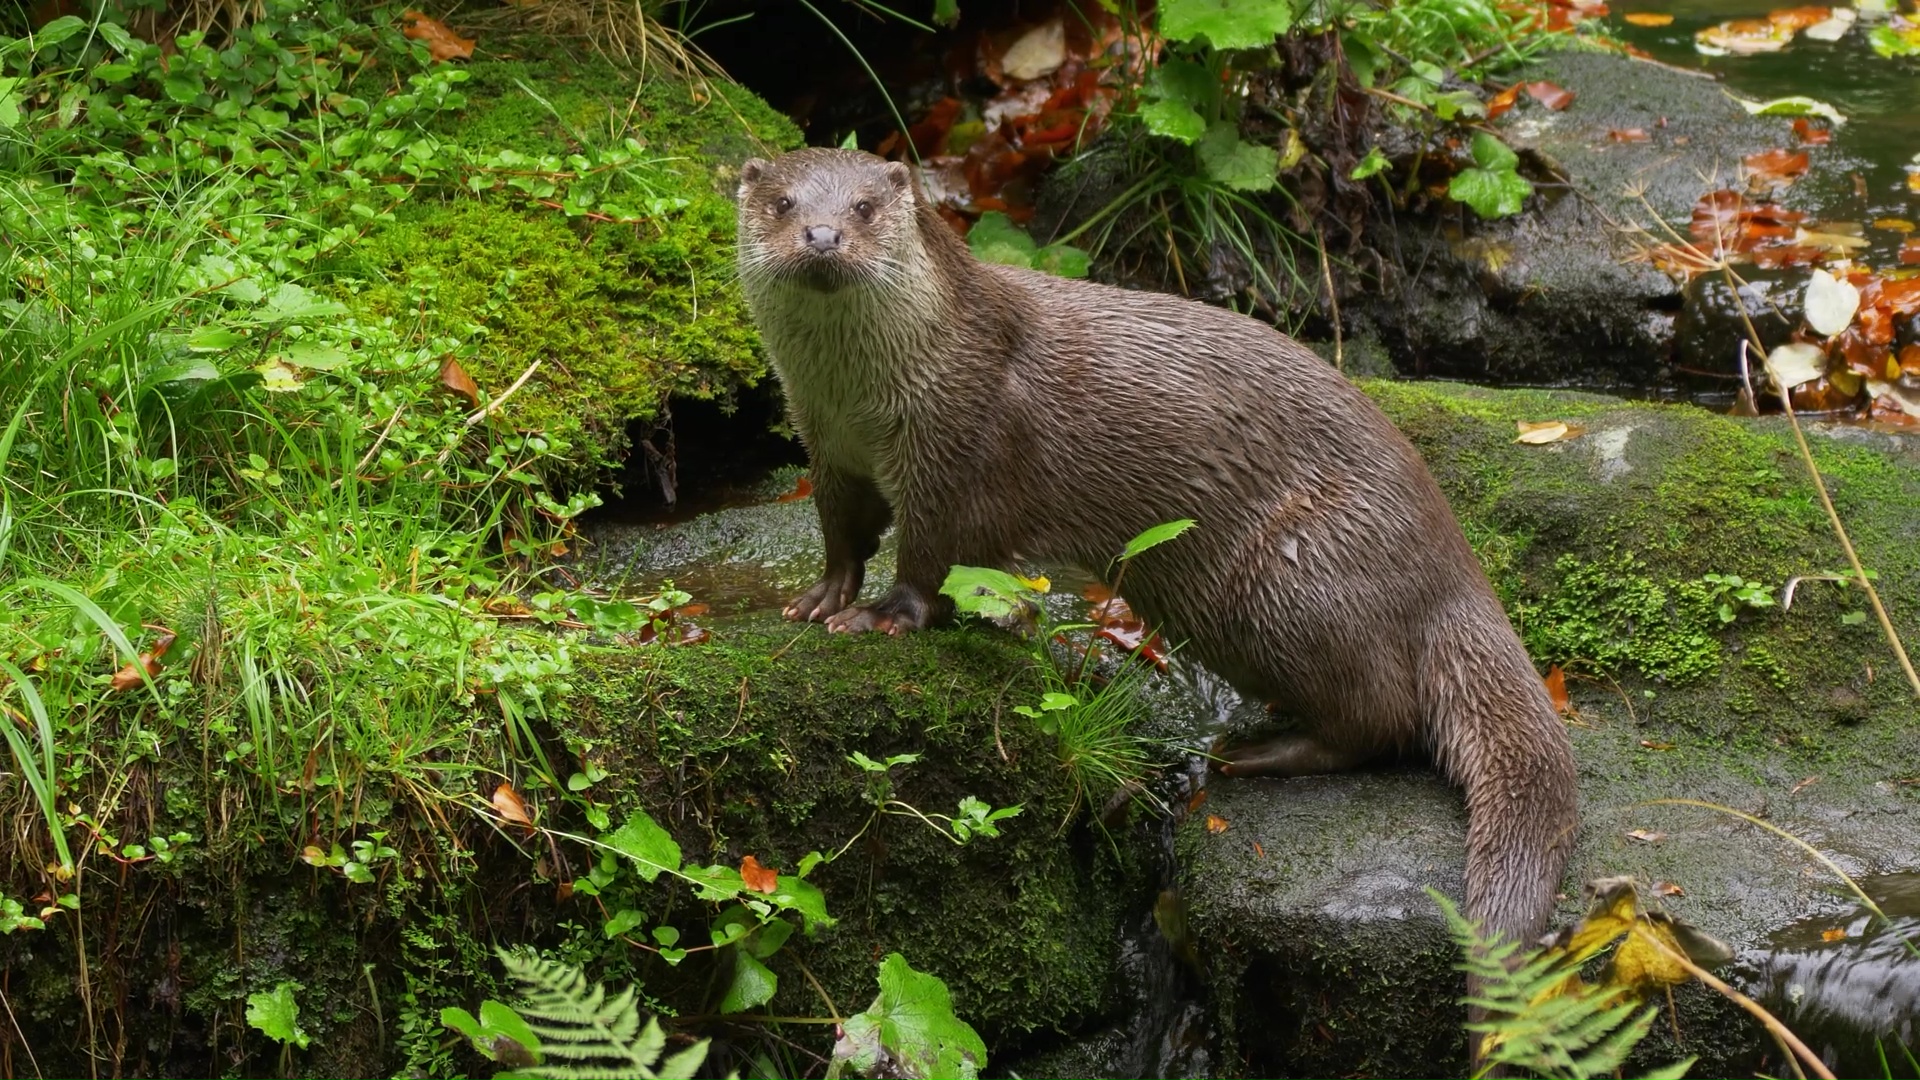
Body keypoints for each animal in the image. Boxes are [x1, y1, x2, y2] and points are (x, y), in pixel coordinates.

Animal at [735, 148, 1578, 955]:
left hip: (1290, 575)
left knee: (1381, 716)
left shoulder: (961, 448)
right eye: (783, 202)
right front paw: (822, 598)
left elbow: (934, 559)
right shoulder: (828, 447)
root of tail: (1455, 568)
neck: (863, 398)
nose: (821, 236)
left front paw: (884, 615)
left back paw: (1260, 752)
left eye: (863, 207)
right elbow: (842, 533)